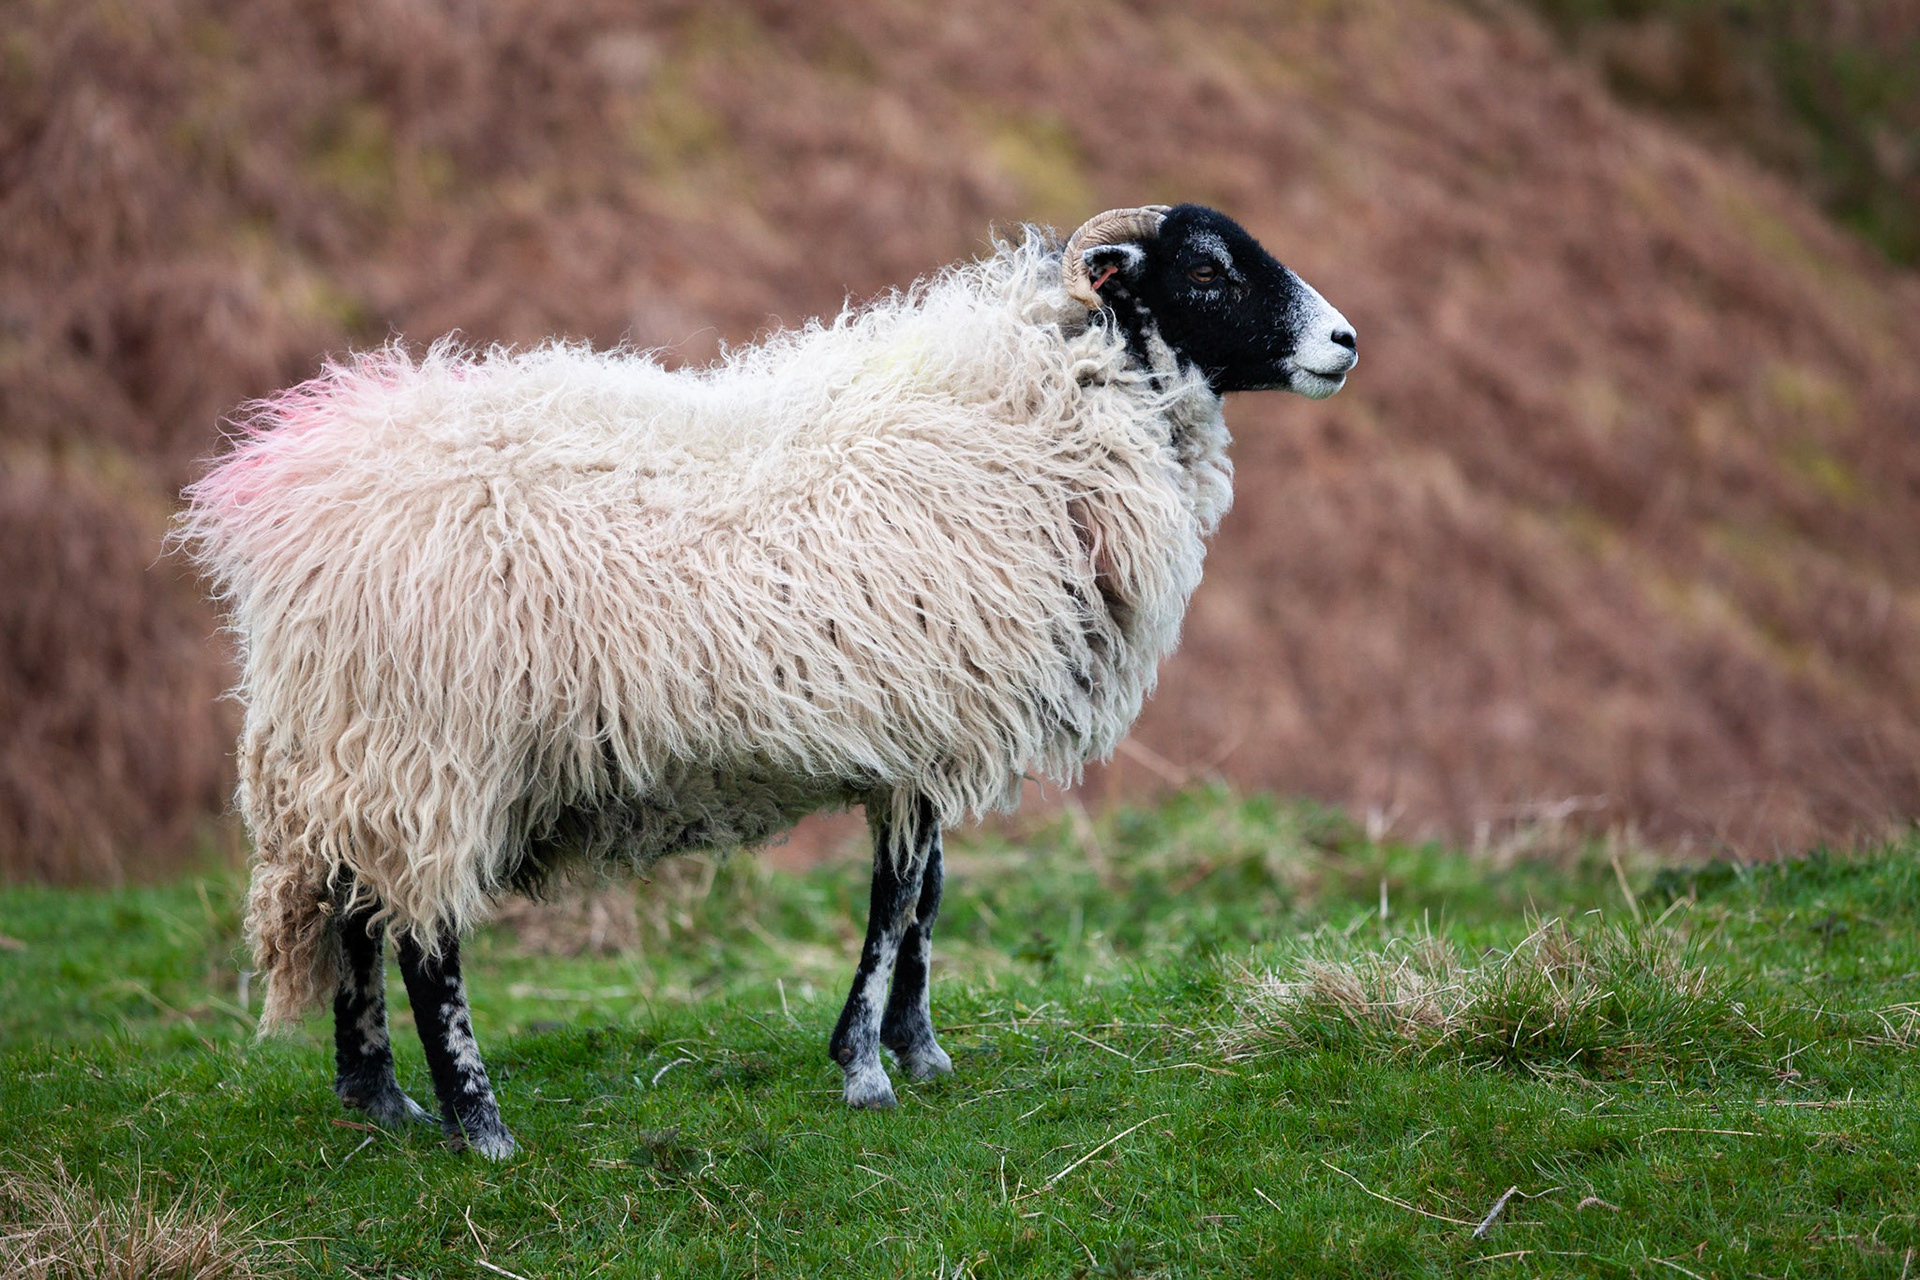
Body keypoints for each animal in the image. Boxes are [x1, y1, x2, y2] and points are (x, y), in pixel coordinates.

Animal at [180, 203, 1356, 1159]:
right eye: (1206, 269)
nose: (1345, 341)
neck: (1030, 422)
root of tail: (291, 498)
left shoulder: (929, 727)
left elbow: (929, 895)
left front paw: (919, 1049)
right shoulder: (922, 717)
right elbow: (897, 901)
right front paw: (867, 1066)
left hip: (357, 742)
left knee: (355, 909)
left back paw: (378, 1099)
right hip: (434, 736)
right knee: (427, 943)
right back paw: (481, 1124)